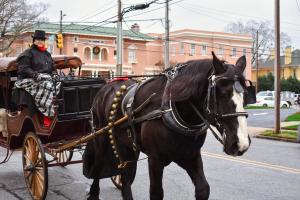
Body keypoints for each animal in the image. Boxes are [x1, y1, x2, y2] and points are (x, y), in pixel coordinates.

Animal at [83, 52, 254, 200]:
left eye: (245, 95)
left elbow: (203, 189)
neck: (172, 109)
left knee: (125, 174)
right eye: (222, 94)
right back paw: (94, 193)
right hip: (101, 137)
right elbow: (156, 193)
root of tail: (106, 87)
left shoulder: (189, 155)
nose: (241, 143)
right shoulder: (155, 160)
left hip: (129, 146)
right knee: (99, 166)